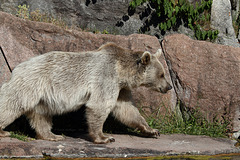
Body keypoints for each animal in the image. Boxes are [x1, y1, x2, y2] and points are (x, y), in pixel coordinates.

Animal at [0, 42, 172, 144]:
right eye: (162, 74)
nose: (169, 87)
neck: (122, 71)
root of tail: (16, 68)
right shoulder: (106, 77)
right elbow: (99, 105)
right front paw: (105, 137)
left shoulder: (121, 88)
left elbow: (126, 109)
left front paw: (152, 130)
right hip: (31, 83)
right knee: (12, 103)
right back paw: (4, 132)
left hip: (42, 96)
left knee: (41, 114)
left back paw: (52, 135)